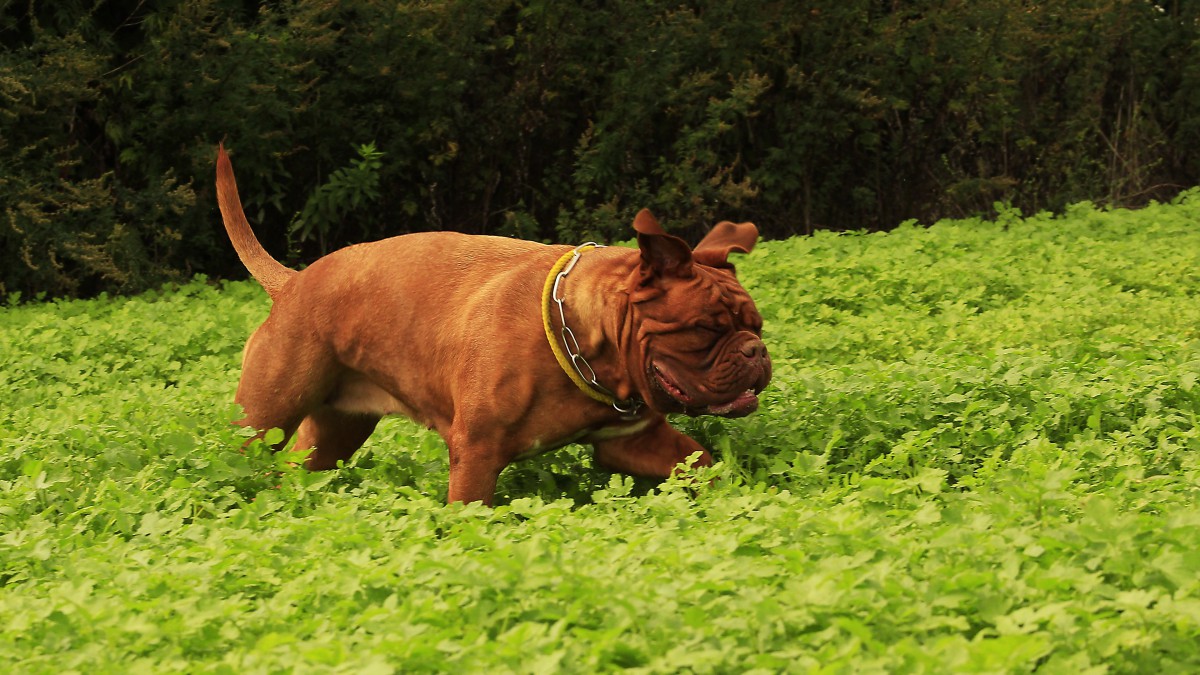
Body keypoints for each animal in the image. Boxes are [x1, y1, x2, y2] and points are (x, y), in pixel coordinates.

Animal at [214, 144, 768, 502]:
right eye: (704, 329)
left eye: (756, 326)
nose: (755, 351)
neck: (582, 340)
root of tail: (291, 283)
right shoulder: (476, 454)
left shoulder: (634, 442)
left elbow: (702, 464)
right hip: (264, 416)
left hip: (332, 435)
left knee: (297, 470)